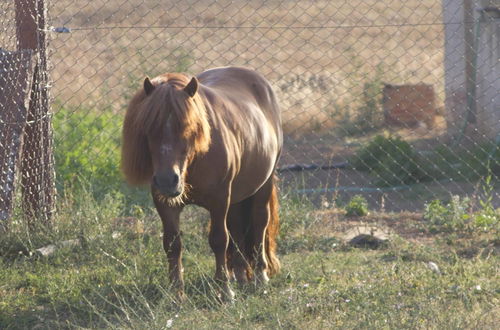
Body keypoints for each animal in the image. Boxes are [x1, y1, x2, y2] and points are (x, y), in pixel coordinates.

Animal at [120, 67, 282, 302]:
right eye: (149, 128)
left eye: (189, 127)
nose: (167, 180)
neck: (195, 159)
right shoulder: (166, 204)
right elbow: (172, 244)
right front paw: (176, 293)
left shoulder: (219, 200)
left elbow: (219, 240)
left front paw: (224, 291)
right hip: (237, 195)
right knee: (237, 227)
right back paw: (240, 275)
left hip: (262, 186)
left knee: (259, 223)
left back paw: (260, 277)